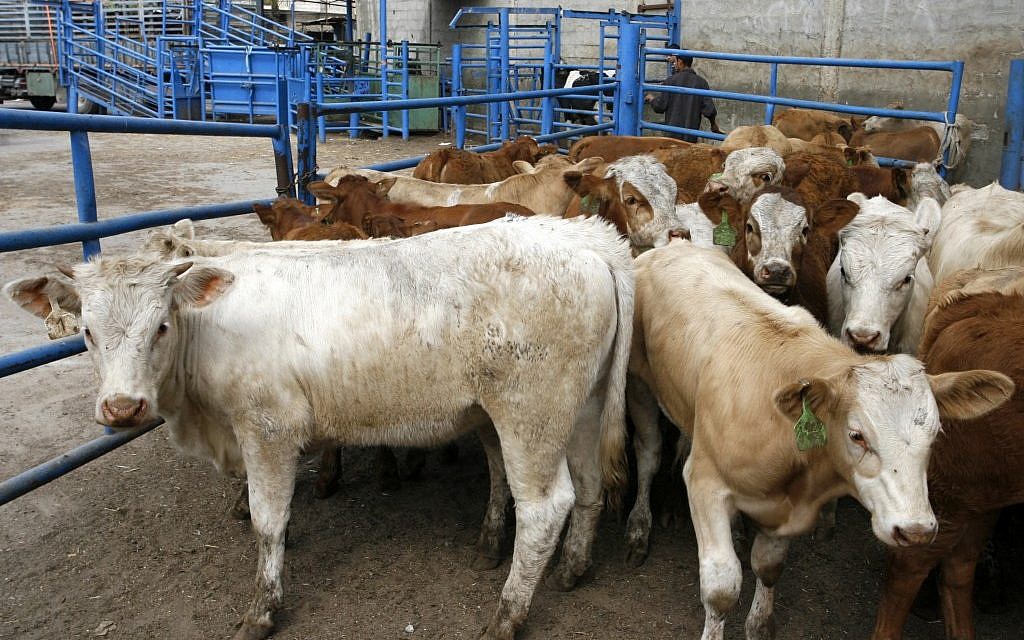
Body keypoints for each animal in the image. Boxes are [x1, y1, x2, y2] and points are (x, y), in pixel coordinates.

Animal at [4, 214, 634, 640]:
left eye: (160, 325)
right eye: (86, 332)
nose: (122, 407)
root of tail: (583, 236)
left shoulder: (267, 427)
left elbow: (267, 520)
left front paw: (262, 609)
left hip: (530, 417)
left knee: (546, 507)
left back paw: (506, 616)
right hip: (579, 409)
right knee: (589, 487)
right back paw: (571, 568)